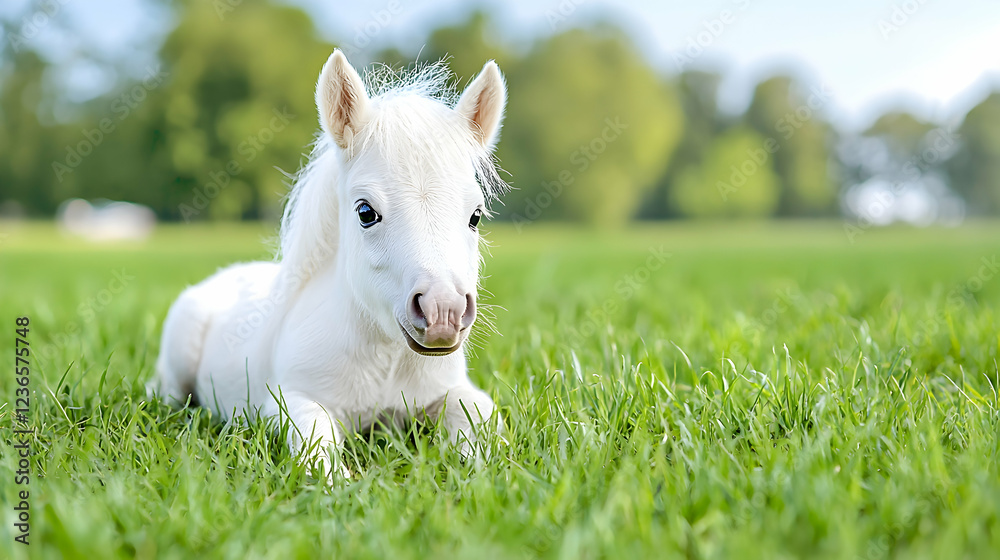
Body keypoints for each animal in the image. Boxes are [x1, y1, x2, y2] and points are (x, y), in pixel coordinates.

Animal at [148, 49, 508, 479]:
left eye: (476, 215)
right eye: (366, 212)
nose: (443, 311)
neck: (385, 362)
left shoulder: (450, 392)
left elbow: (479, 412)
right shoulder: (287, 401)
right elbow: (317, 443)